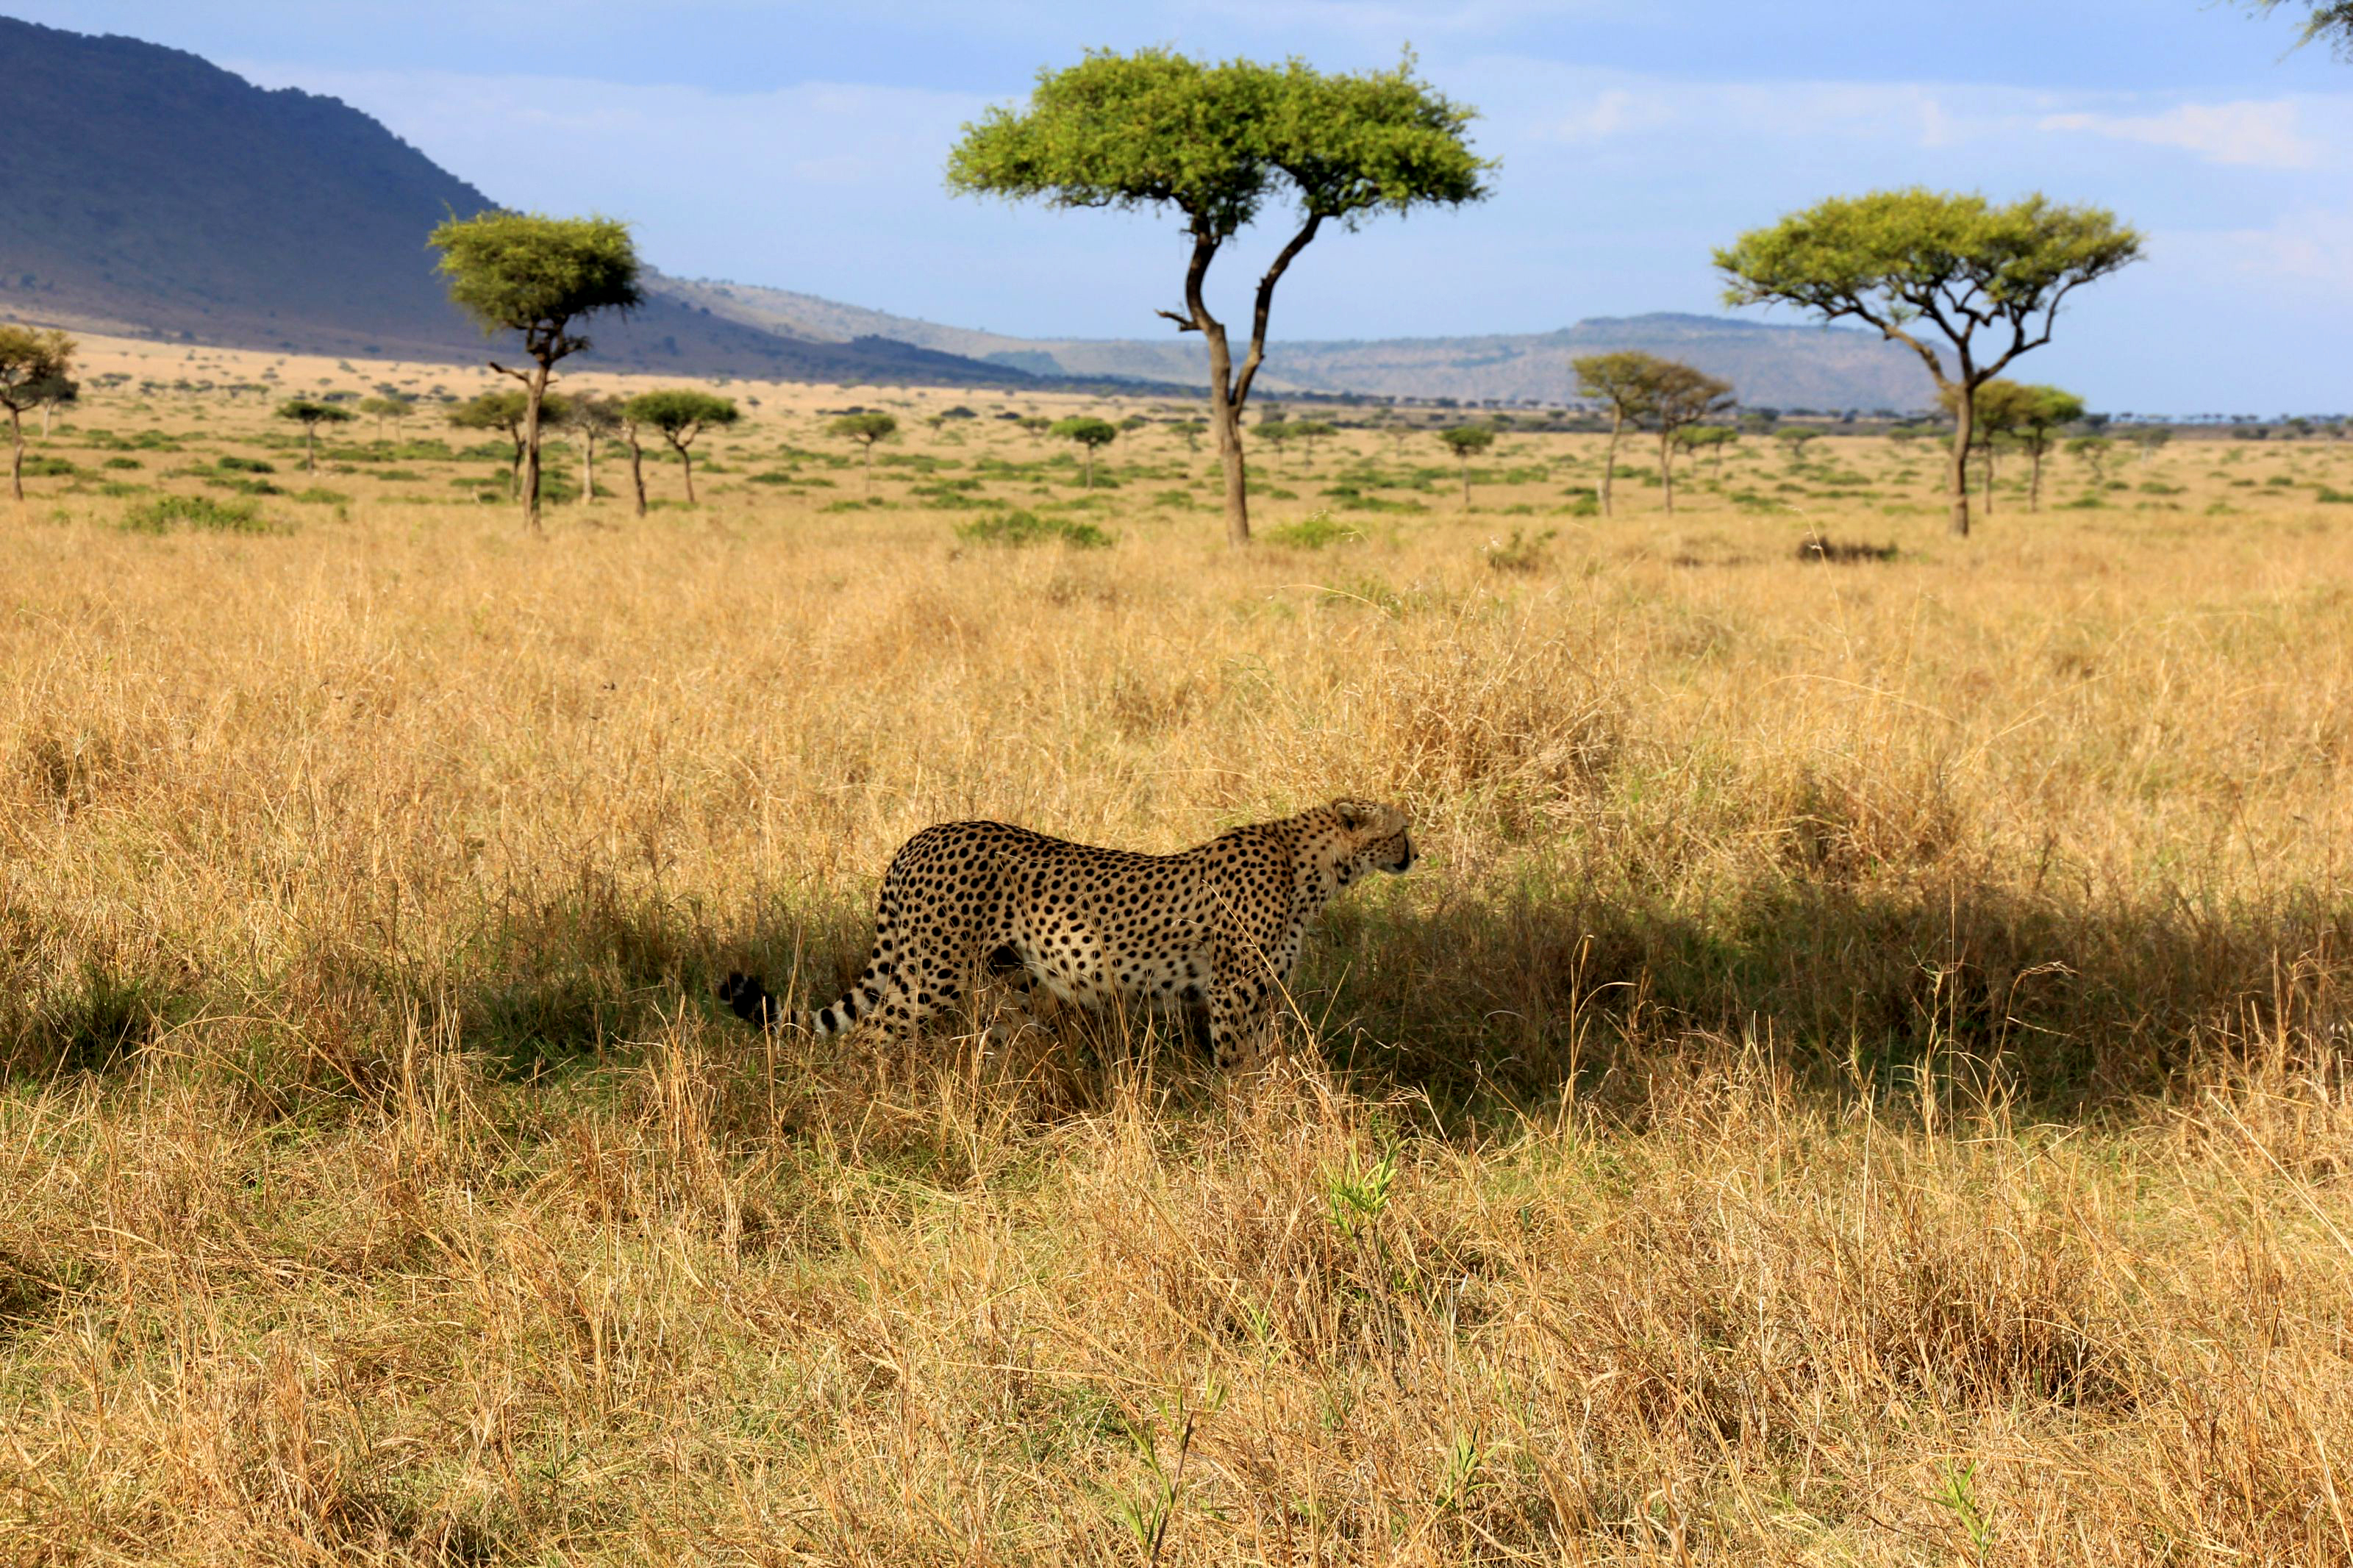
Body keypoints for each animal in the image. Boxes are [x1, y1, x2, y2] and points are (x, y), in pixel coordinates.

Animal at [718, 798, 1414, 1071]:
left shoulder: (1263, 991)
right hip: (930, 973)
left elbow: (1266, 1059)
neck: (1312, 867)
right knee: (870, 1036)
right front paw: (1245, 1121)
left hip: (1006, 982)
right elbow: (1238, 1059)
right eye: (1399, 829)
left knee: (996, 1046)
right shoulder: (1233, 989)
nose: (1415, 853)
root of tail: (924, 835)